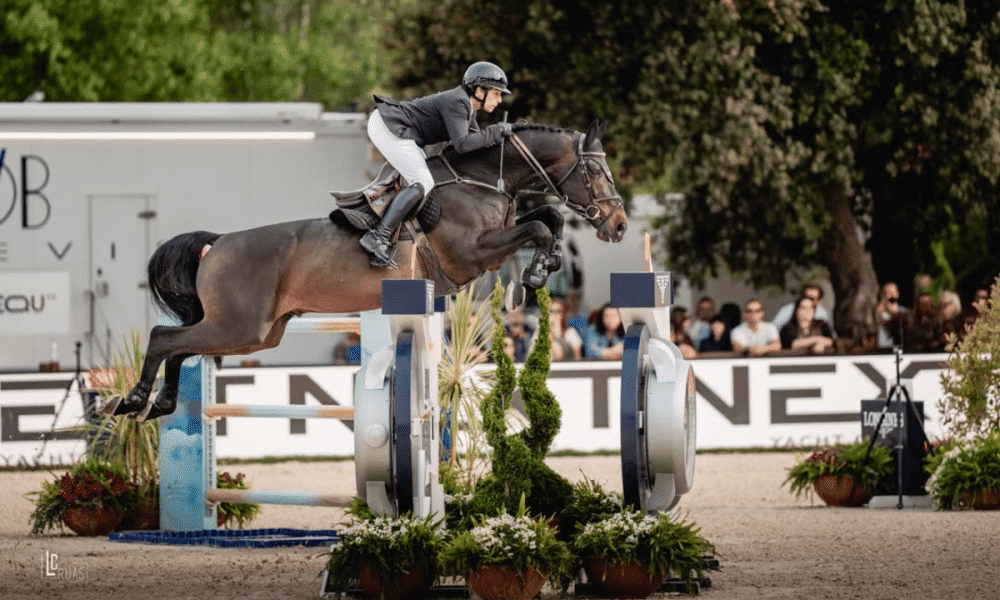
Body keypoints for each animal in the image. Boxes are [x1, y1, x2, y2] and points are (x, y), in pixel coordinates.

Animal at [108, 120, 627, 420]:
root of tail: (216, 244)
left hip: (253, 335)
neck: (483, 180)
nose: (620, 225)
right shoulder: (473, 253)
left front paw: (544, 266)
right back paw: (135, 400)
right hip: (239, 326)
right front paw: (537, 274)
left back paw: (161, 404)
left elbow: (548, 218)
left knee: (181, 345)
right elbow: (538, 226)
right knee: (164, 337)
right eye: (595, 172)